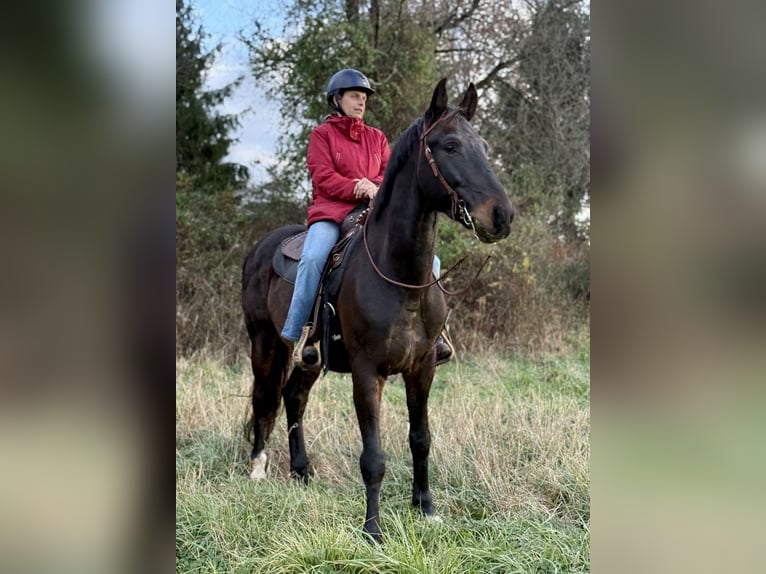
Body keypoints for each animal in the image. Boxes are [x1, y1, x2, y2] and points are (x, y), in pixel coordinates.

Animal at [241, 78, 514, 542]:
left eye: (482, 145)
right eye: (451, 146)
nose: (502, 216)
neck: (399, 278)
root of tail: (261, 247)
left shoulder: (423, 367)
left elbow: (420, 438)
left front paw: (426, 509)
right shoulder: (368, 372)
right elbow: (374, 456)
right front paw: (373, 530)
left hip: (311, 358)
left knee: (294, 396)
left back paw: (302, 471)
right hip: (265, 343)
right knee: (265, 397)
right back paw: (259, 468)